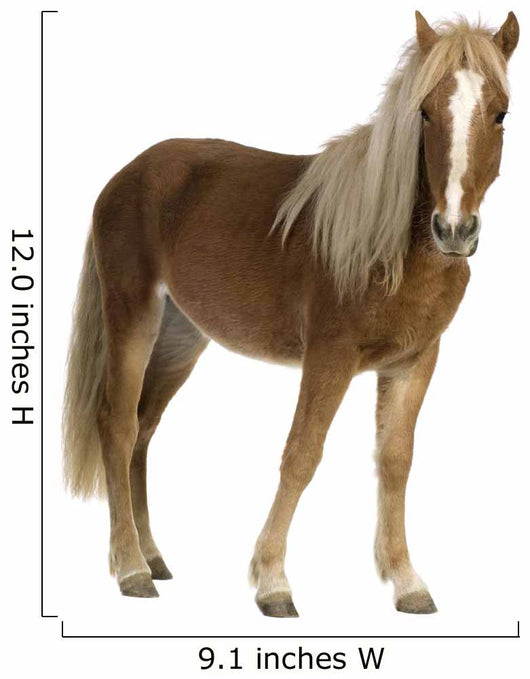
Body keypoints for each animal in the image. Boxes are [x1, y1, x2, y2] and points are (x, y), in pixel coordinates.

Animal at [63, 12, 519, 617]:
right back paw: (132, 569)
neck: (386, 246)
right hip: (132, 317)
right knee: (117, 425)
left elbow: (395, 461)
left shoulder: (414, 362)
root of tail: (125, 177)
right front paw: (273, 581)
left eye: (501, 113)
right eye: (424, 112)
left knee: (143, 429)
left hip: (180, 338)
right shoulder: (329, 357)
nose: (454, 231)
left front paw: (406, 581)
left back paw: (153, 556)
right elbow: (301, 454)